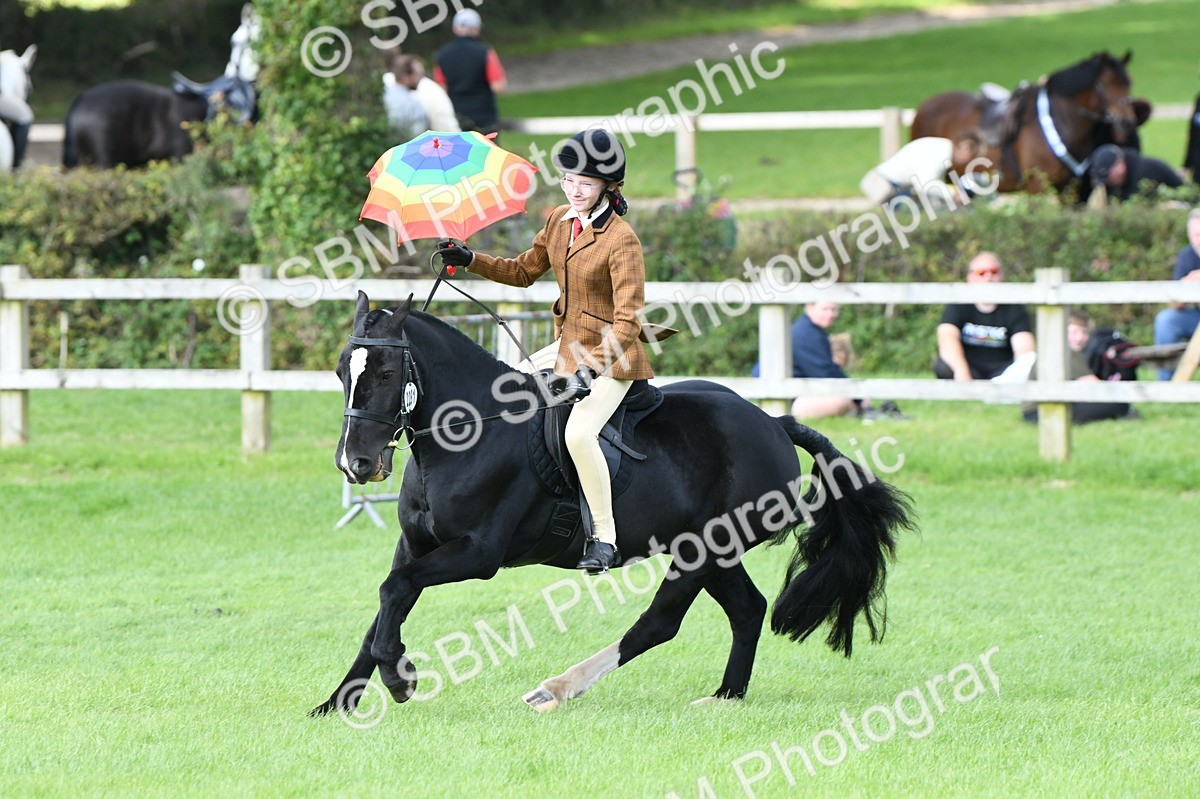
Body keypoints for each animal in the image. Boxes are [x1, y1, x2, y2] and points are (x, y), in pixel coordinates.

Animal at [310, 293, 916, 716]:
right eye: (342, 371)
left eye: (387, 373)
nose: (356, 463)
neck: (473, 429)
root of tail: (772, 421)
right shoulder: (415, 544)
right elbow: (386, 603)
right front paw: (338, 702)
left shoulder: (477, 554)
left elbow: (396, 590)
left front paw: (399, 679)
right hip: (713, 550)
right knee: (747, 609)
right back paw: (726, 696)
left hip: (704, 550)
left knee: (660, 623)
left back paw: (557, 689)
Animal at [910, 51, 1137, 194]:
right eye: (1105, 85)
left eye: (1128, 83)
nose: (1127, 122)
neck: (1059, 121)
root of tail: (923, 106)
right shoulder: (1036, 187)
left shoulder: (1068, 188)